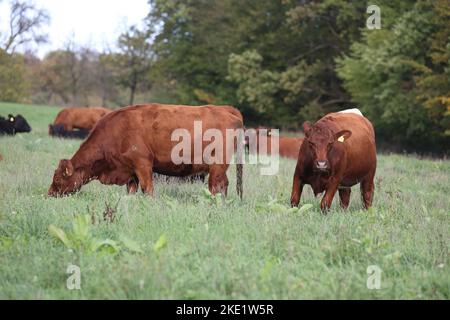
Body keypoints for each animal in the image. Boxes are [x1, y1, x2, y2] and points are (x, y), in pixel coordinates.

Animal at [48, 104, 244, 199]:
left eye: (57, 179)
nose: (49, 194)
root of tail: (225, 109)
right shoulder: (129, 172)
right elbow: (131, 191)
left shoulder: (142, 165)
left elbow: (148, 189)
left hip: (217, 166)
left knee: (217, 186)